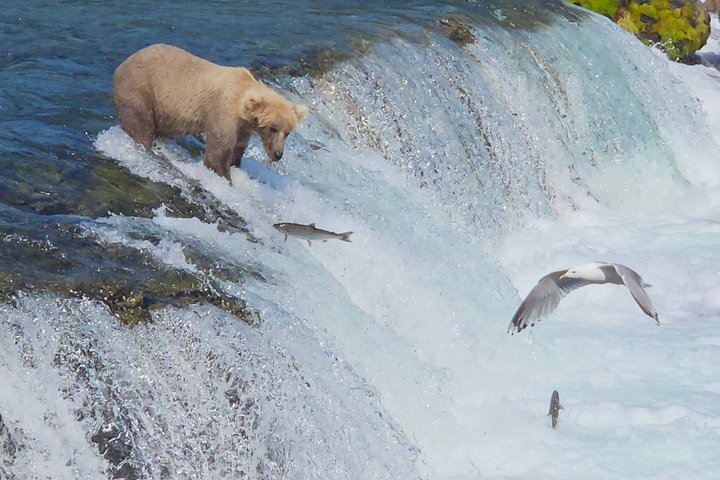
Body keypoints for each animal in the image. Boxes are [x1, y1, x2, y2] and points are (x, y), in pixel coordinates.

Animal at [111, 43, 308, 184]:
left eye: (287, 132)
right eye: (272, 128)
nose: (278, 154)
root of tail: (122, 63)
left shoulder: (242, 128)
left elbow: (237, 148)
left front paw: (235, 164)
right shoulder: (222, 112)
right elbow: (219, 152)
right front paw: (226, 179)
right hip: (140, 88)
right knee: (140, 125)